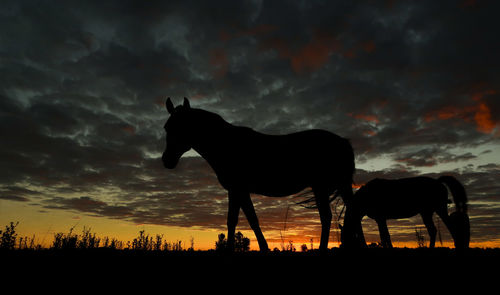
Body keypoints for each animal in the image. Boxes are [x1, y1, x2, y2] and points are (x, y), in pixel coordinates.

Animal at [161, 97, 356, 252]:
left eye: (182, 127)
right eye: (166, 127)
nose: (167, 160)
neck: (225, 143)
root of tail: (343, 141)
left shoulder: (238, 189)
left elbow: (242, 220)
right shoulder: (237, 191)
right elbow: (242, 219)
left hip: (321, 187)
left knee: (327, 217)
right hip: (340, 186)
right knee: (351, 211)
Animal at [342, 176, 470, 250]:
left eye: (346, 240)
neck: (366, 196)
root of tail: (438, 182)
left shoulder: (380, 218)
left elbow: (385, 236)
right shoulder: (380, 219)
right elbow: (384, 235)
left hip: (438, 210)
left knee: (449, 227)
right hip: (427, 213)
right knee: (433, 230)